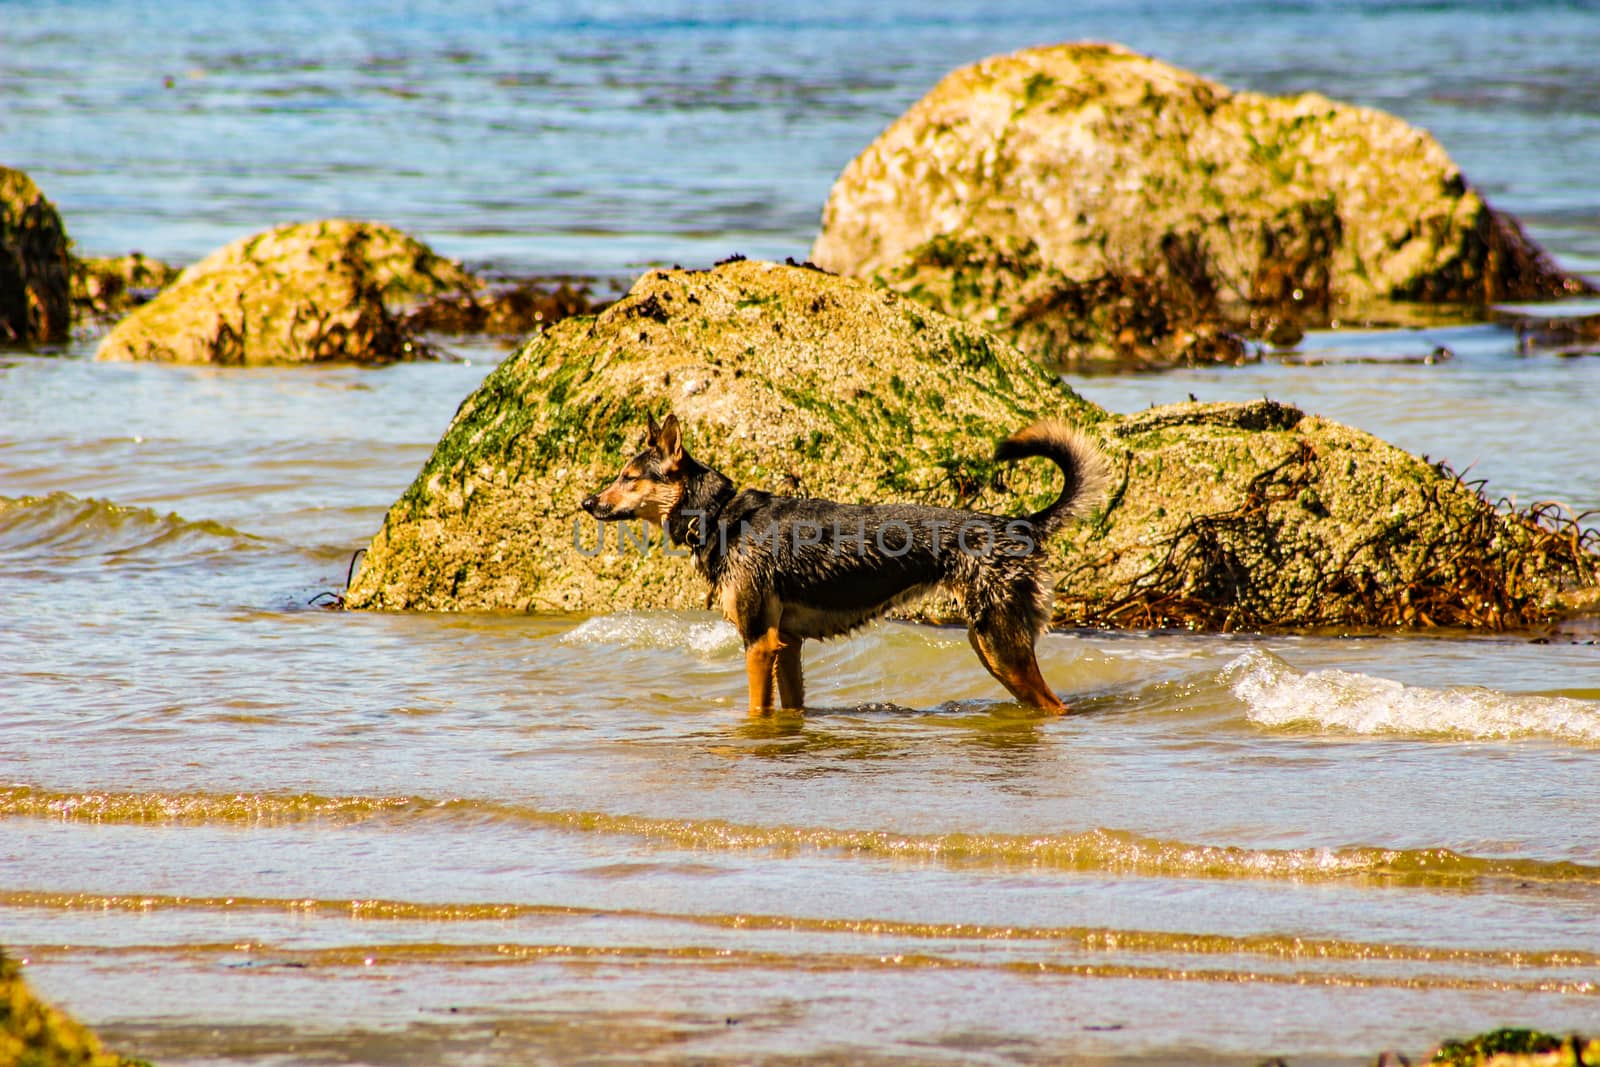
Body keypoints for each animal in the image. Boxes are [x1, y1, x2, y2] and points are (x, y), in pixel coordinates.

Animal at [579, 412, 1113, 713]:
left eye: (628, 478)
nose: (586, 503)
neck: (720, 514)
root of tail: (1019, 524)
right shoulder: (786, 645)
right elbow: (790, 707)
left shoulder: (758, 643)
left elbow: (755, 710)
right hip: (990, 647)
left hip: (998, 644)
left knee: (1053, 705)